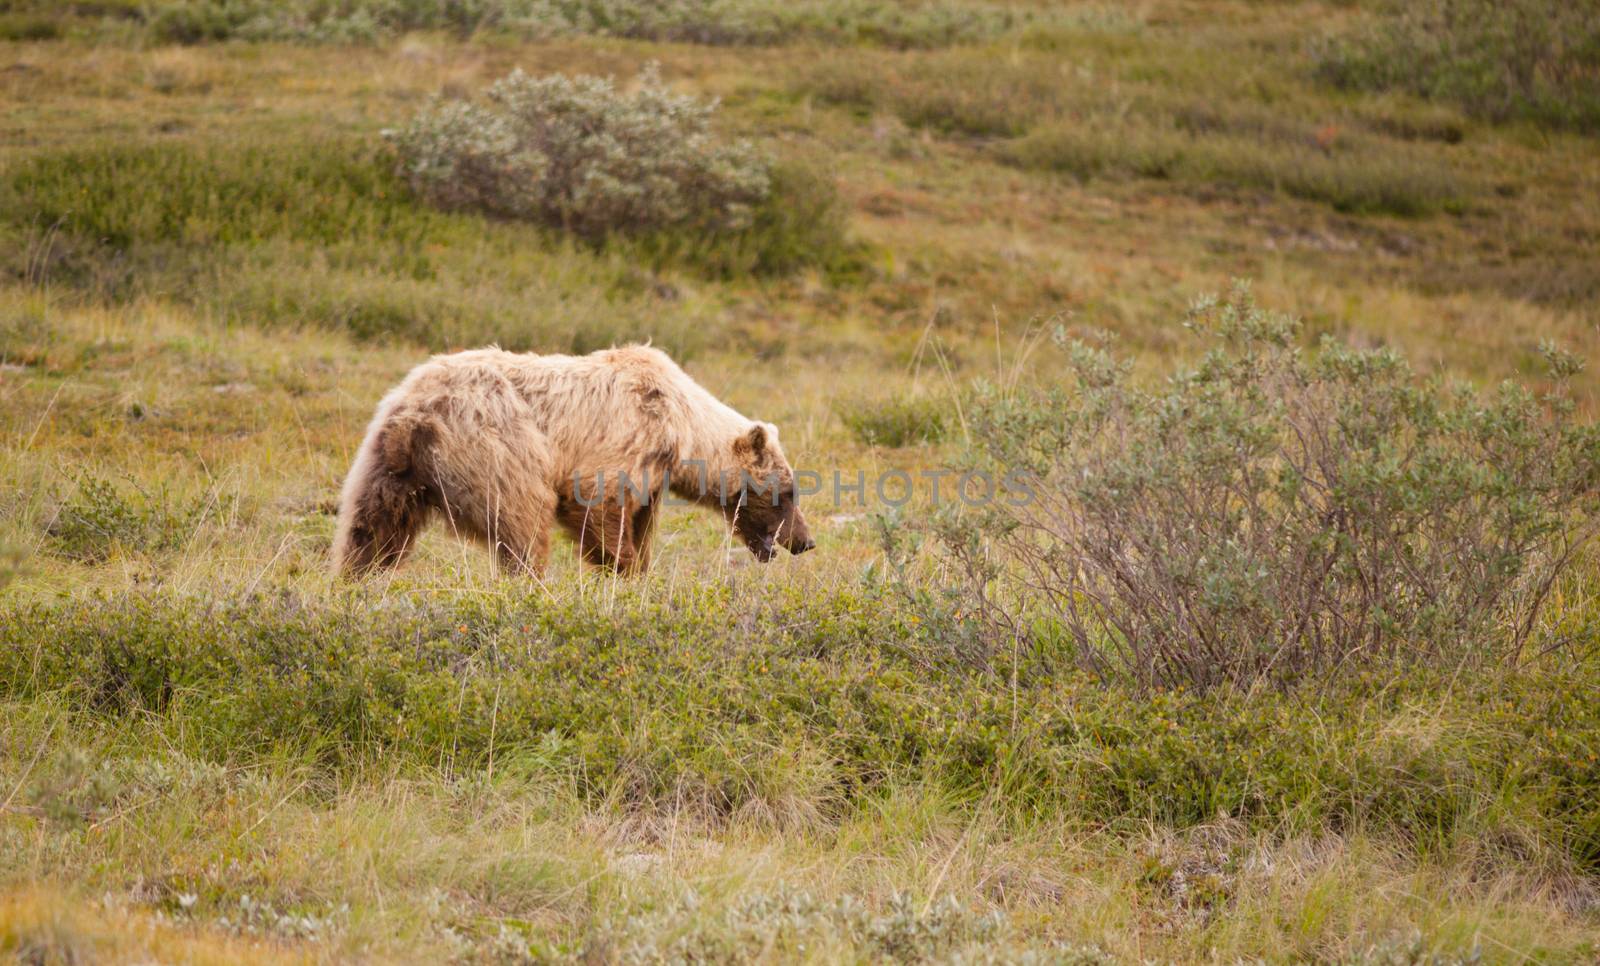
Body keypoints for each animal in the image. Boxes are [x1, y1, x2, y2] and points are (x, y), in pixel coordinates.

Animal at [332, 345, 819, 575]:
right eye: (787, 492)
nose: (805, 542)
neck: (682, 428)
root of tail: (415, 415)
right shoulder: (627, 436)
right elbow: (597, 503)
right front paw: (623, 568)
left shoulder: (652, 476)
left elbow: (640, 521)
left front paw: (639, 568)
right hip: (496, 448)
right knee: (524, 523)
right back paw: (532, 581)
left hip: (384, 464)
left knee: (371, 530)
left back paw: (356, 578)